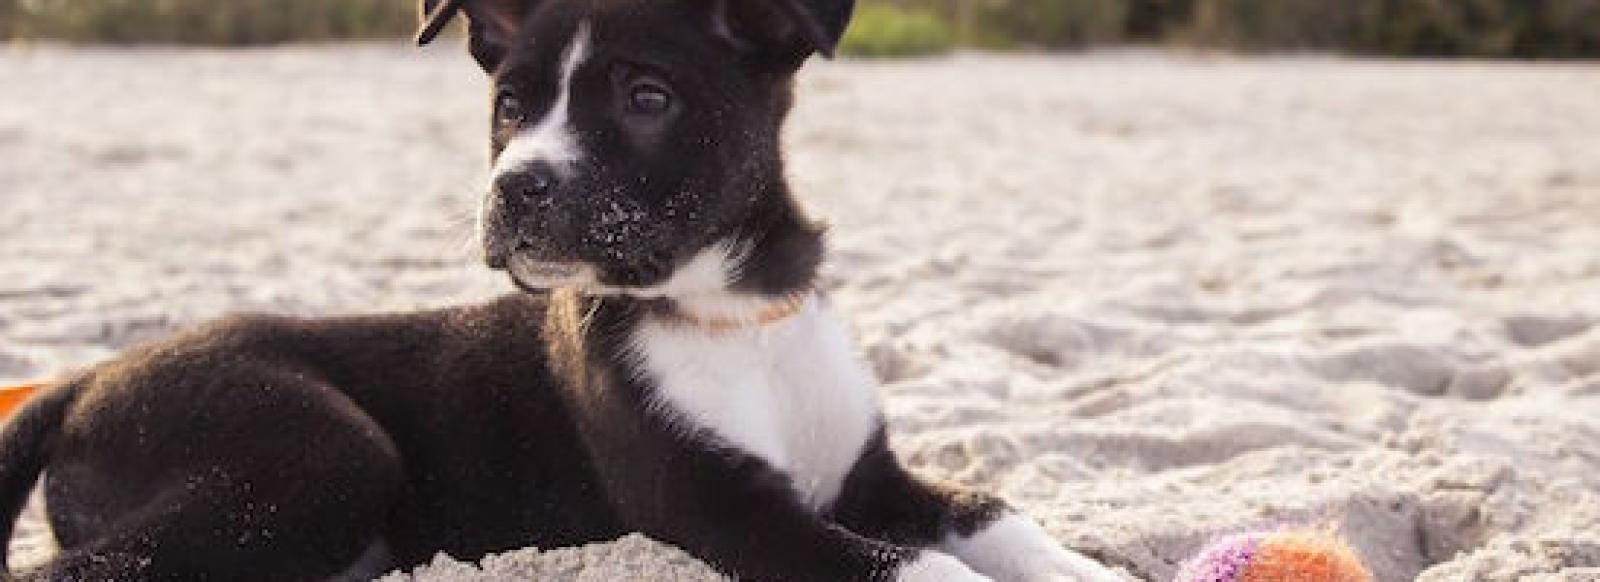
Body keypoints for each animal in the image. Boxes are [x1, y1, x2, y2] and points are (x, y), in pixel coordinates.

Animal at [0, 0, 1126, 578]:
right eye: (509, 104)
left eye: (647, 97)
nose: (514, 188)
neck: (732, 314)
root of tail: (85, 381)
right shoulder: (717, 507)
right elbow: (916, 567)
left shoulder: (867, 478)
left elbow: (995, 514)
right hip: (317, 451)